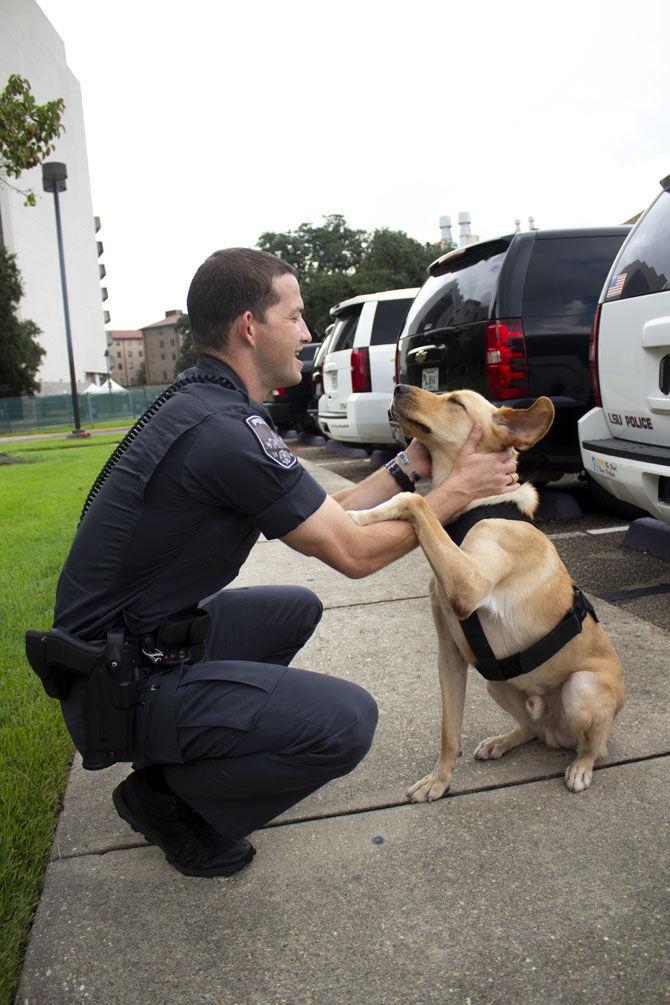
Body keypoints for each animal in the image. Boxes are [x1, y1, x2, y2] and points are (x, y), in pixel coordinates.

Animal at [349, 387, 626, 795]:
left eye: (455, 403)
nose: (398, 387)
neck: (476, 508)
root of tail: (557, 731)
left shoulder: (469, 584)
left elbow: (414, 500)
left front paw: (364, 514)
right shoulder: (450, 654)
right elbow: (449, 730)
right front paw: (439, 781)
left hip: (581, 688)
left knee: (593, 744)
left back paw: (580, 767)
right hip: (497, 683)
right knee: (532, 728)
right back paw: (502, 742)